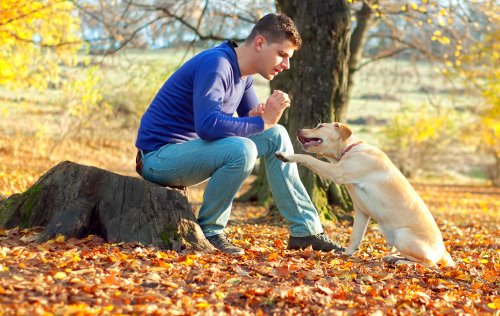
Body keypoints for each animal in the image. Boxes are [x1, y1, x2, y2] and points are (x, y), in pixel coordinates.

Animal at [276, 123, 456, 266]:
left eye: (319, 126)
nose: (298, 130)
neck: (349, 150)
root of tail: (444, 251)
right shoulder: (361, 211)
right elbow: (355, 236)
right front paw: (347, 254)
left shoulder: (337, 172)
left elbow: (308, 158)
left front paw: (287, 155)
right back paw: (392, 257)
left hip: (403, 236)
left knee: (430, 264)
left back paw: (401, 262)